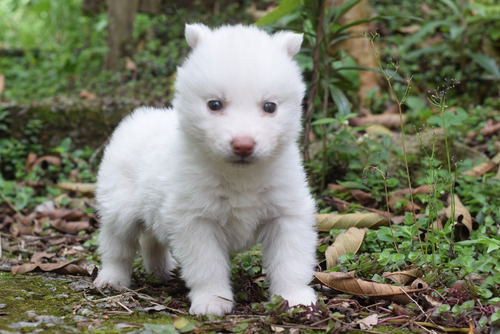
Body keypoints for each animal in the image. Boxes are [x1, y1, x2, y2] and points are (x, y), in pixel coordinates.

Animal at [94, 23, 316, 316]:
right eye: (215, 104)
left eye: (270, 106)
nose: (243, 144)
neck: (240, 177)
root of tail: (141, 115)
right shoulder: (195, 220)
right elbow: (206, 265)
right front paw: (212, 300)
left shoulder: (286, 213)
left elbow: (290, 259)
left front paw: (295, 298)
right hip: (120, 207)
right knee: (116, 245)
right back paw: (112, 278)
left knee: (152, 240)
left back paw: (160, 271)